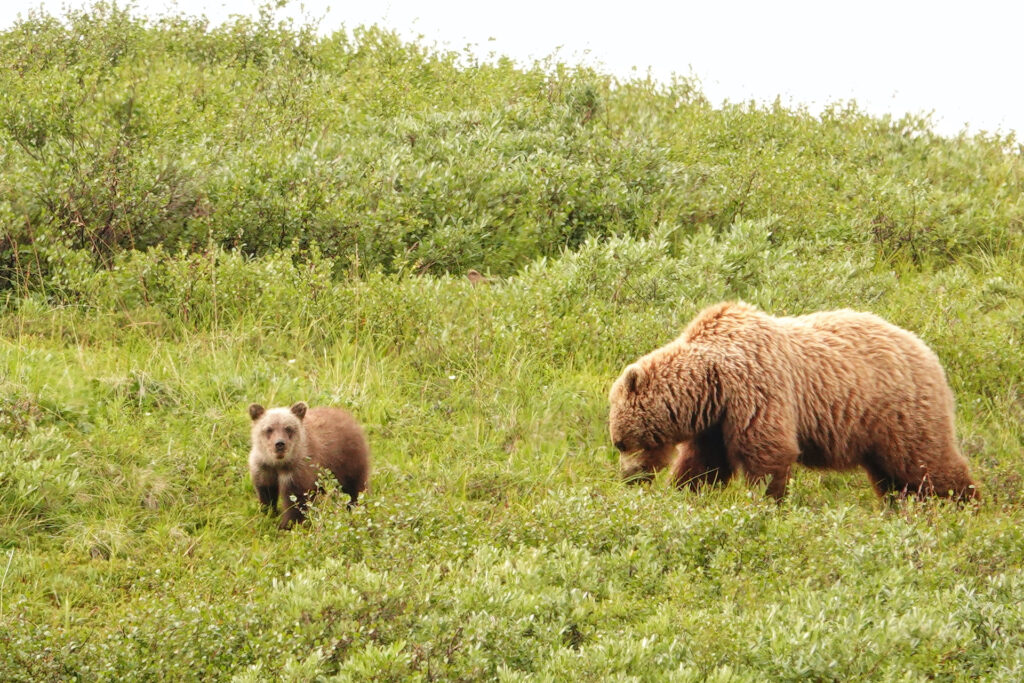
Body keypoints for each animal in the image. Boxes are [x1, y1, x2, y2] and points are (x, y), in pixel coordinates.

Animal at [606, 305, 974, 501]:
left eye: (620, 442)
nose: (628, 478)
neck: (712, 383)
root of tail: (928, 352)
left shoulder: (756, 390)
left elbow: (768, 453)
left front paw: (764, 502)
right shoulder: (716, 421)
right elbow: (704, 464)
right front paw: (685, 492)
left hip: (898, 410)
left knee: (926, 463)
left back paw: (963, 505)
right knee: (893, 478)